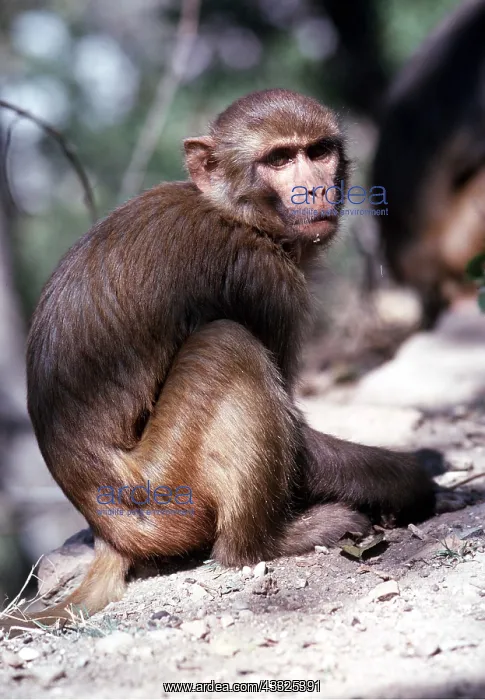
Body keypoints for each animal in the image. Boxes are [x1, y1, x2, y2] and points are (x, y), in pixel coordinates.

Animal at [0, 89, 435, 633]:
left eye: (317, 152)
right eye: (278, 159)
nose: (312, 189)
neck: (237, 214)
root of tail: (110, 533)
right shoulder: (263, 277)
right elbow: (297, 434)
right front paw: (411, 481)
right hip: (165, 498)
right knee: (227, 346)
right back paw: (262, 544)